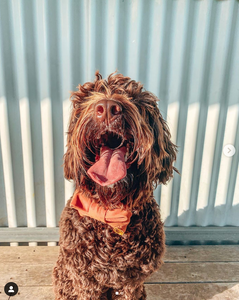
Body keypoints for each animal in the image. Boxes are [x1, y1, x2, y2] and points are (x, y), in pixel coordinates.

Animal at [52, 71, 177, 298]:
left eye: (135, 98)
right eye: (87, 96)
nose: (108, 108)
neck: (111, 213)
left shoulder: (132, 281)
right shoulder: (85, 278)